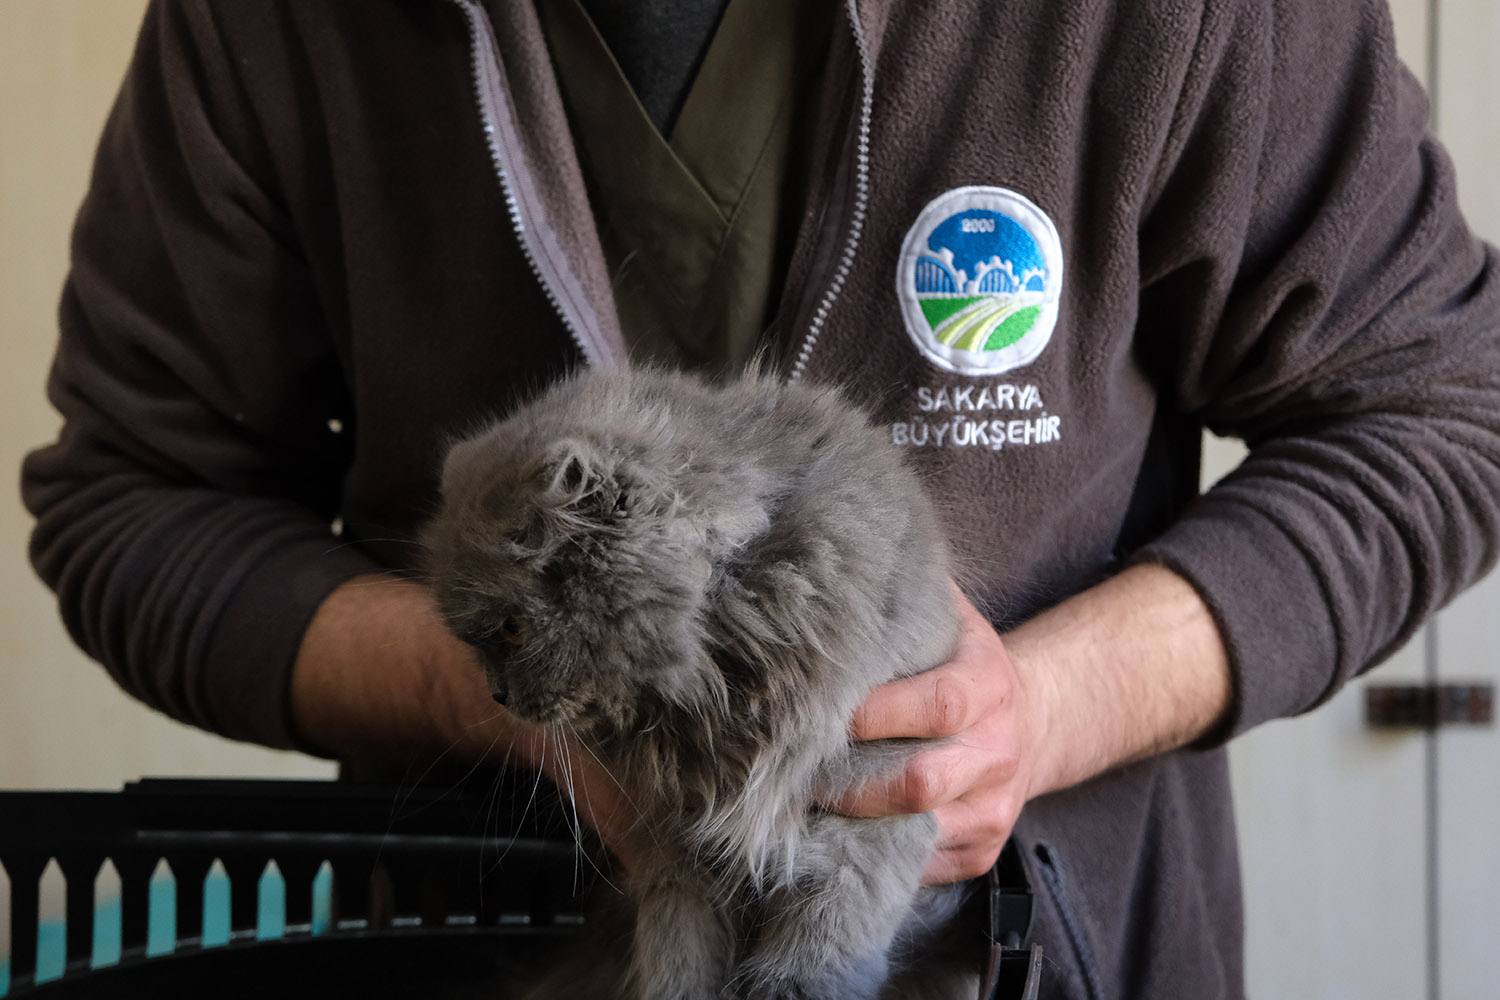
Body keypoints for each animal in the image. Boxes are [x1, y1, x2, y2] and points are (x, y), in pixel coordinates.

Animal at [423, 370, 978, 1000]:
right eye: (477, 645)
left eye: (512, 631)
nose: (497, 693)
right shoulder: (673, 847)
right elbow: (679, 956)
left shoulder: (871, 812)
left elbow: (819, 951)